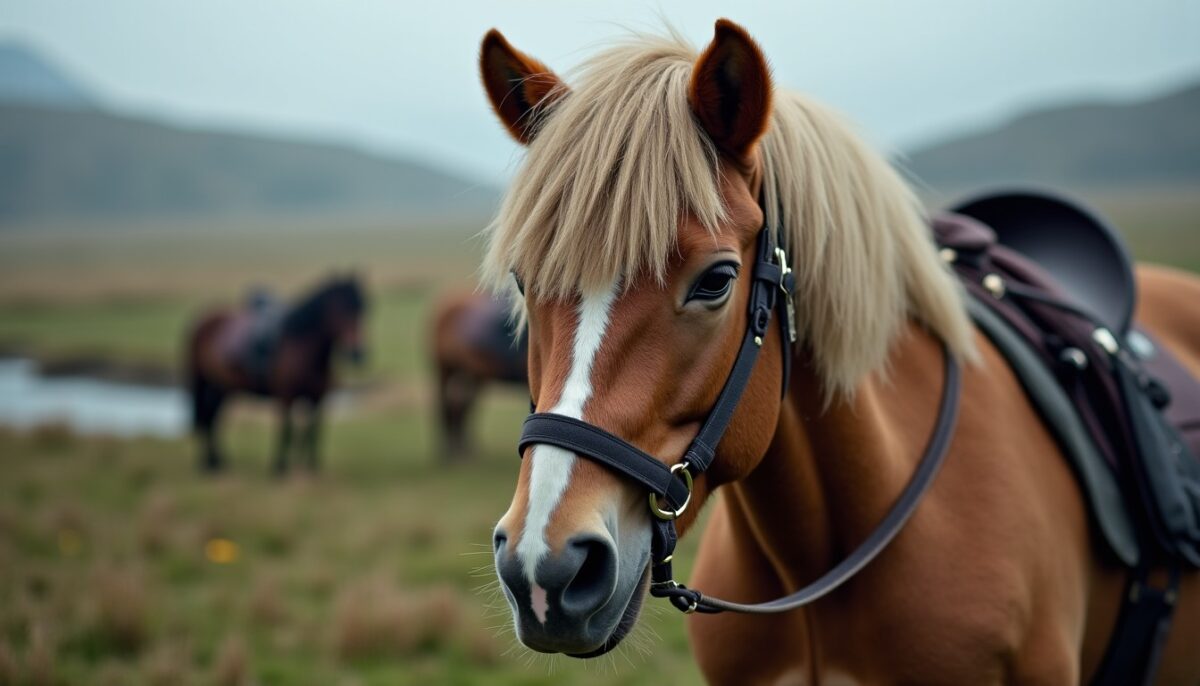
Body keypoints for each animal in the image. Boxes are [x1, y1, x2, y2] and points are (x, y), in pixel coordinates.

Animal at [186, 275, 367, 475]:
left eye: (363, 309)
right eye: (341, 310)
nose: (357, 353)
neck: (304, 349)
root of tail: (204, 317)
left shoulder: (318, 398)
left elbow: (312, 431)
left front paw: (311, 467)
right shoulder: (285, 396)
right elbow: (287, 430)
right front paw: (279, 467)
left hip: (221, 387)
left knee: (213, 418)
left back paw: (218, 460)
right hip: (201, 381)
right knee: (206, 418)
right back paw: (210, 462)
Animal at [429, 289, 527, 461]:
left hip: (472, 373)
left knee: (462, 407)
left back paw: (464, 450)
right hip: (444, 369)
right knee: (445, 405)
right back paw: (447, 453)